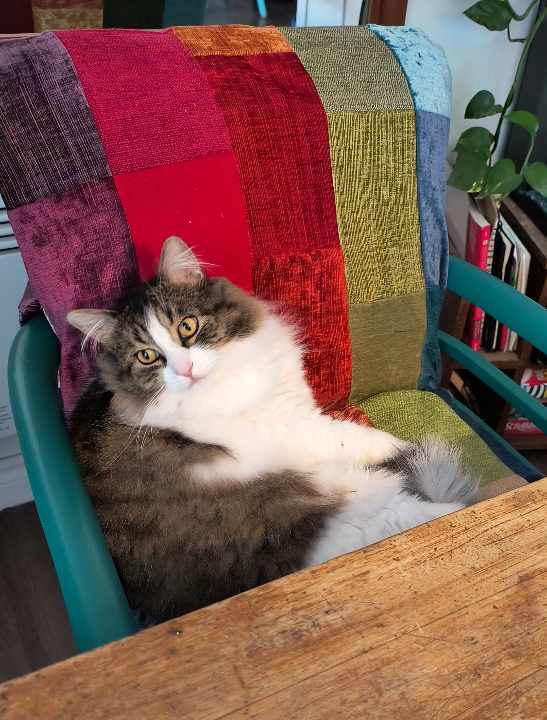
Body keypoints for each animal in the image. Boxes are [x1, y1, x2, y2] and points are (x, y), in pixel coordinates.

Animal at [68, 236, 477, 622]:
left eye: (187, 326)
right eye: (147, 356)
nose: (185, 370)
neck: (229, 375)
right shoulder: (293, 427)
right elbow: (361, 438)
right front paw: (401, 446)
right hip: (354, 509)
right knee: (436, 508)